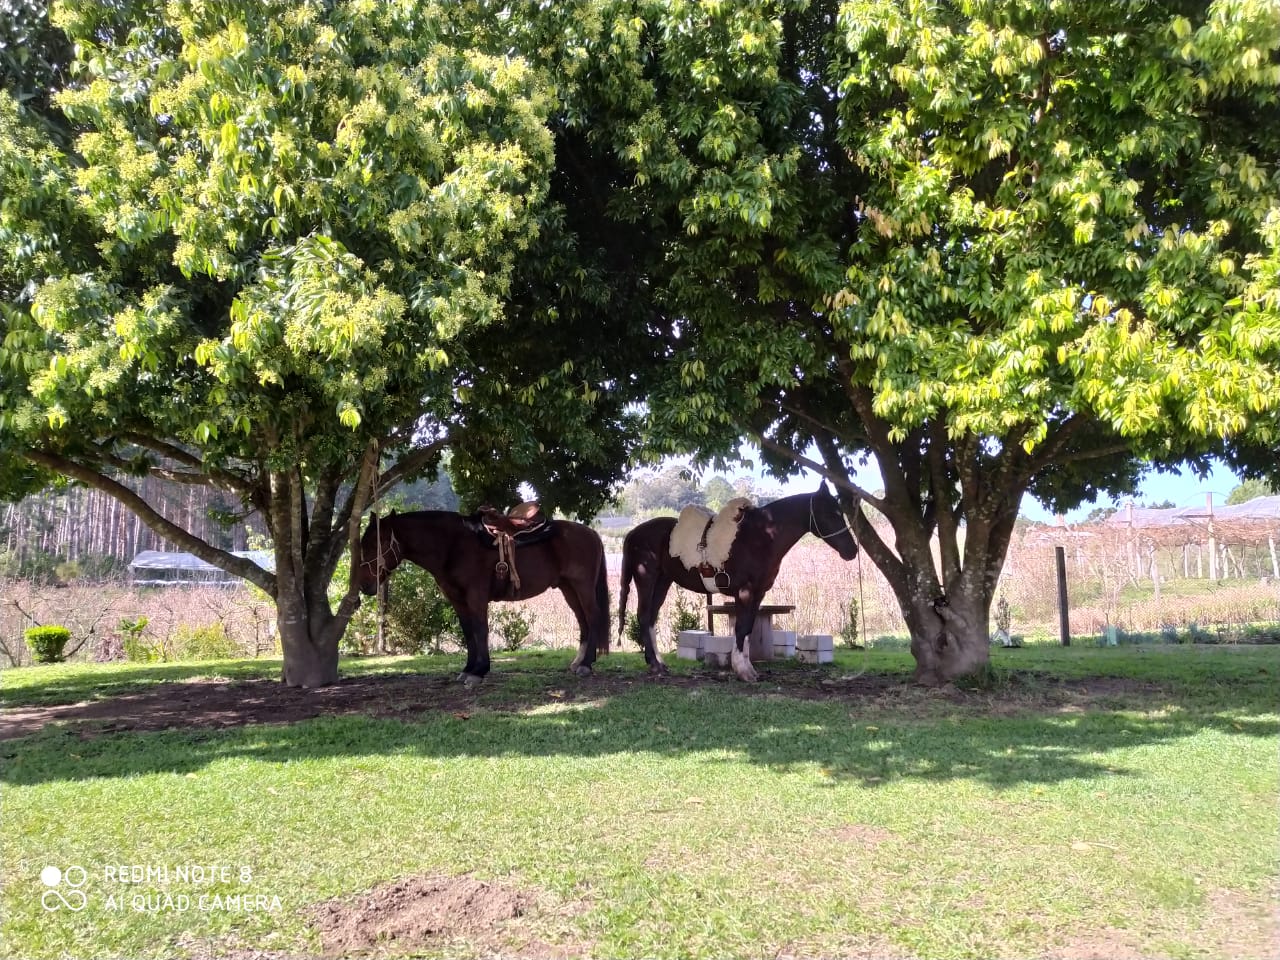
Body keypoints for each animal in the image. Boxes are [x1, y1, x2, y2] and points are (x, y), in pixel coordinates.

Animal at [357, 510, 611, 686]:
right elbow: (469, 632)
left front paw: (479, 671)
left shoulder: (476, 597)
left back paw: (586, 665)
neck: (453, 546)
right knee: (583, 621)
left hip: (582, 587)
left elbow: (480, 630)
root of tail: (592, 534)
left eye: (376, 543)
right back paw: (579, 662)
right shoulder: (458, 600)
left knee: (593, 618)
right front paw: (468, 669)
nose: (364, 585)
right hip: (568, 589)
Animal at [618, 484, 859, 682]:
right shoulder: (745, 591)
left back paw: (659, 663)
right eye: (829, 513)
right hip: (646, 578)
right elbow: (741, 627)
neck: (760, 536)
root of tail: (633, 533)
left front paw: (747, 668)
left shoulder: (758, 593)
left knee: (651, 618)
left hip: (663, 581)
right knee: (643, 616)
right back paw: (655, 665)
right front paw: (743, 671)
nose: (852, 551)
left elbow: (748, 627)